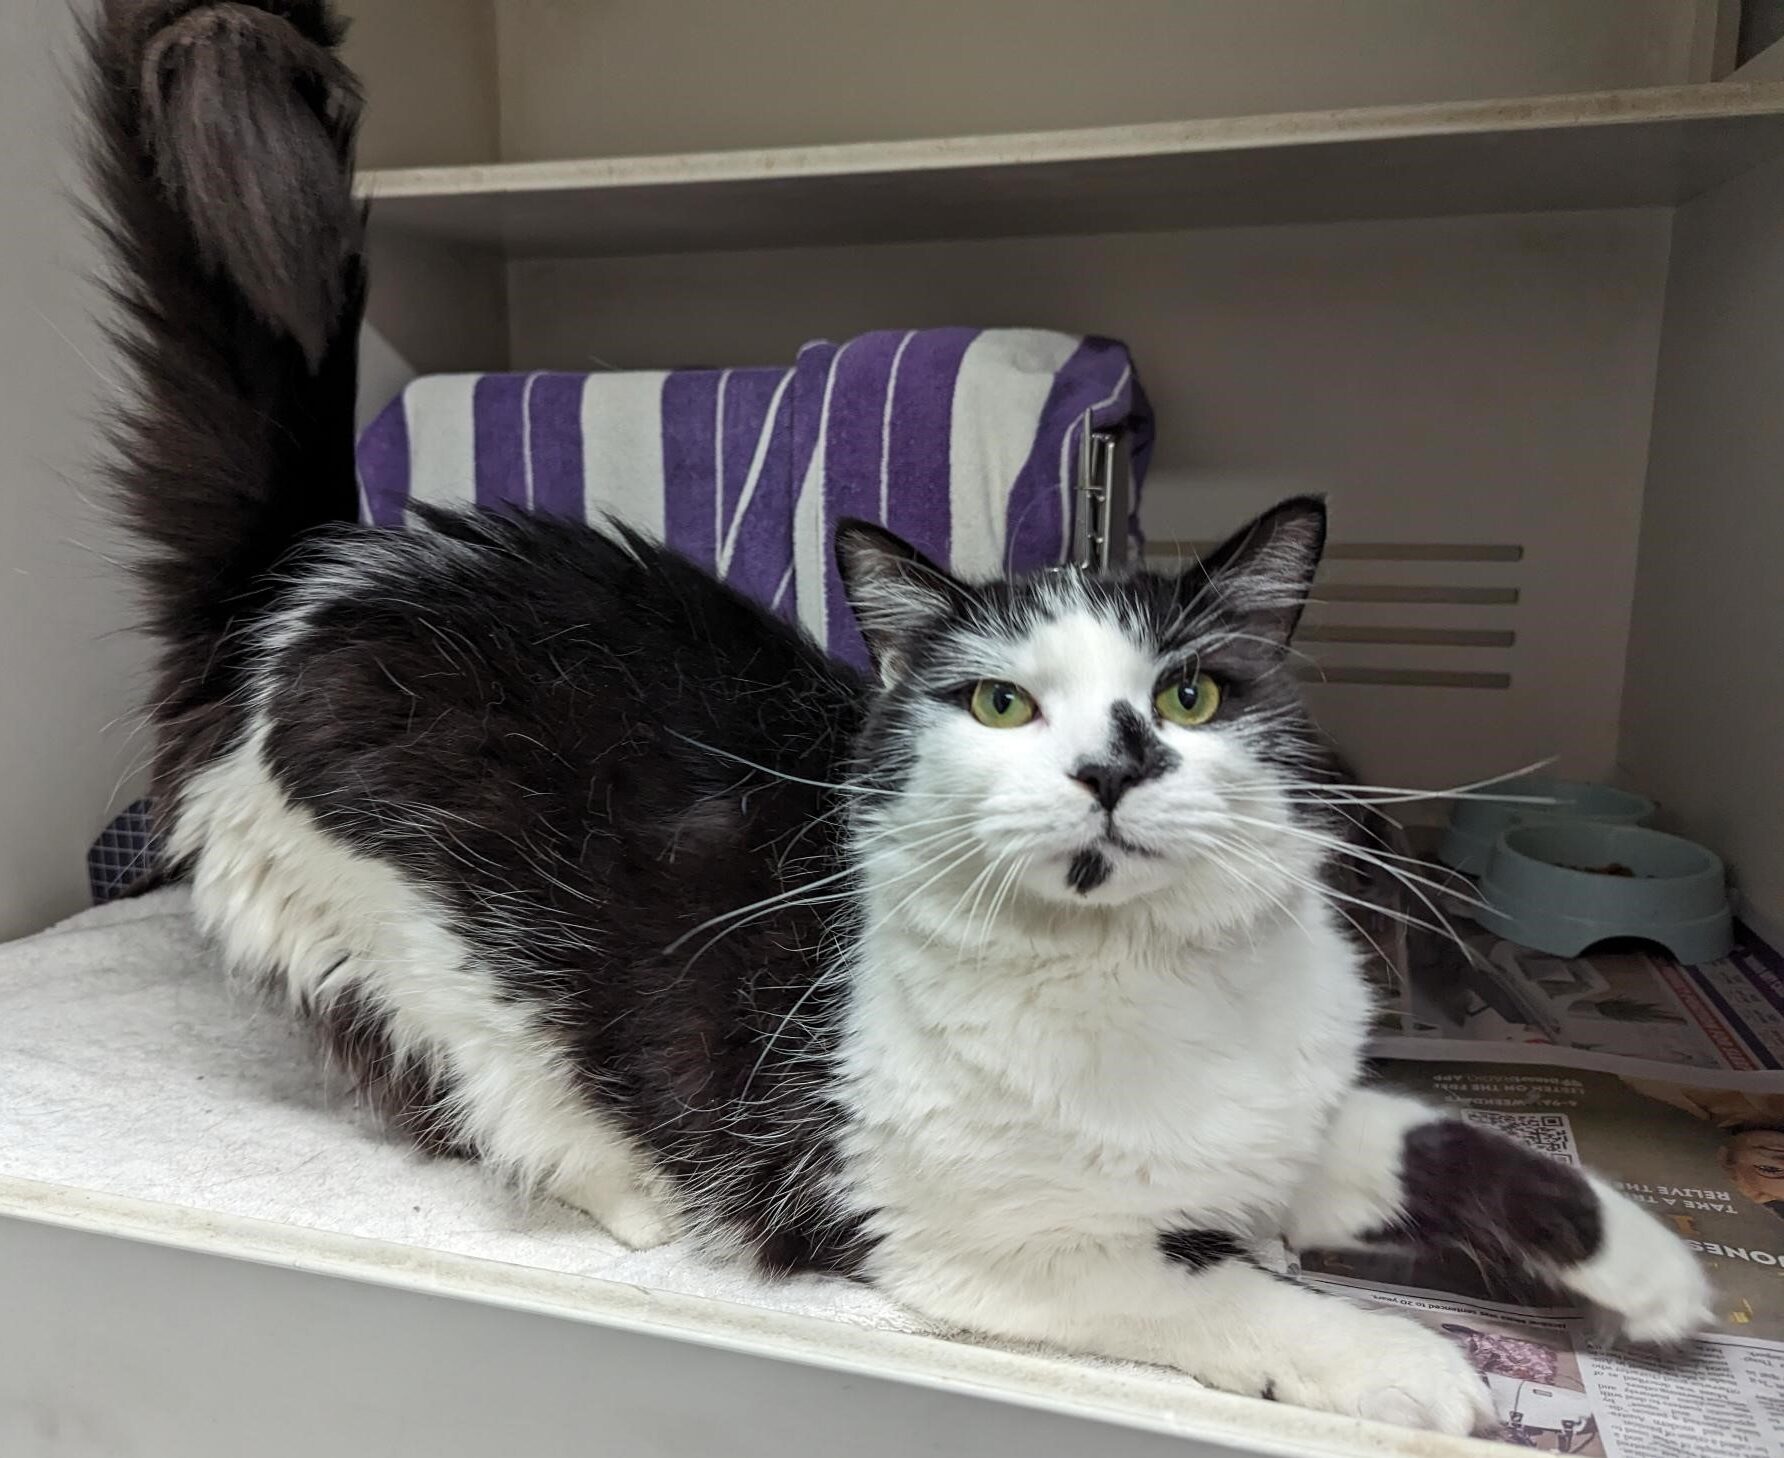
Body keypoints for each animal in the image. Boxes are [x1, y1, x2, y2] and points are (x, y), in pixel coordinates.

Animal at [87, 0, 1709, 1435]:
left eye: (1187, 693)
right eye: (998, 701)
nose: (1115, 762)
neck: (1142, 988)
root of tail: (323, 569)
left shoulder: (1294, 1114)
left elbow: (1444, 1136)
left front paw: (1656, 1273)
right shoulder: (979, 1239)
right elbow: (1218, 1292)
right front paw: (1408, 1361)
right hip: (401, 940)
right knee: (485, 1079)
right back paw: (640, 1190)